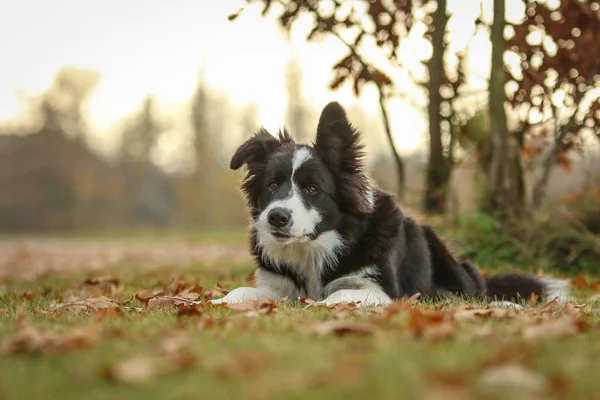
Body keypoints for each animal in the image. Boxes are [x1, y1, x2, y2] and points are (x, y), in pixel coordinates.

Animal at [212, 102, 572, 306]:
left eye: (313, 189)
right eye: (272, 185)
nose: (276, 218)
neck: (317, 248)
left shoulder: (381, 290)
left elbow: (339, 295)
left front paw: (316, 305)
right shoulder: (277, 286)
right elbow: (240, 292)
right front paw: (217, 302)